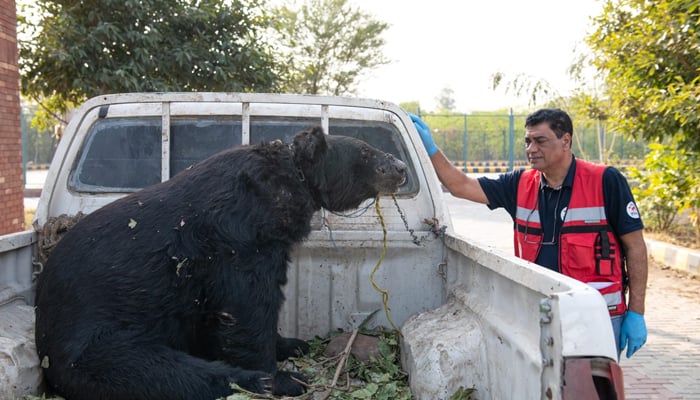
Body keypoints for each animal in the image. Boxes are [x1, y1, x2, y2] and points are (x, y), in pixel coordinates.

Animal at [34, 127, 404, 400]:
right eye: (366, 153)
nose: (400, 168)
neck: (289, 182)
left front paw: (291, 343)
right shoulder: (237, 239)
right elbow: (248, 307)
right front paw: (276, 370)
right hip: (94, 341)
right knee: (167, 373)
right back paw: (268, 382)